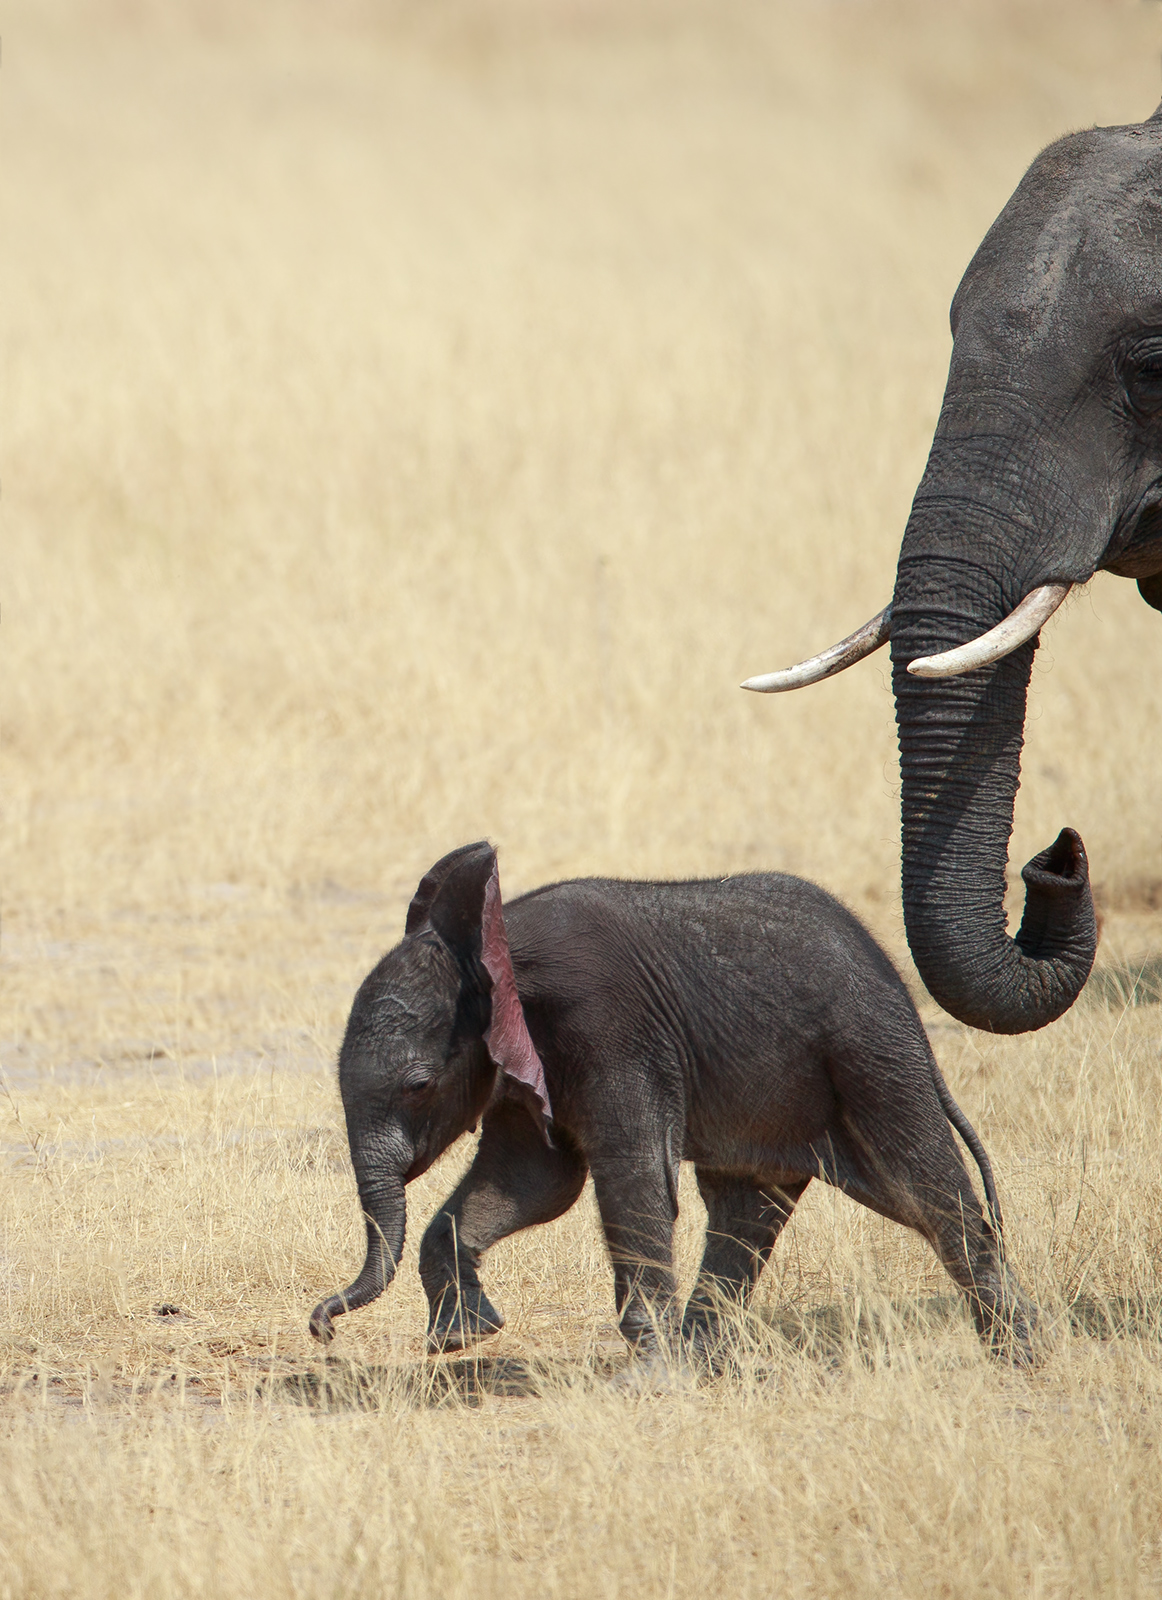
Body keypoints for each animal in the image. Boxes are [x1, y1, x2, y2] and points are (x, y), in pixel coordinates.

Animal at [310, 840, 1033, 1366]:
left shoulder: (612, 1029)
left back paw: (1019, 1353)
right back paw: (702, 1362)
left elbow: (628, 1173)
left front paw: (647, 1368)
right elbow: (533, 1181)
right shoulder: (522, 1064)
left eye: (418, 1086)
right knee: (747, 1209)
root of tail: (901, 989)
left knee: (926, 1189)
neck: (497, 946)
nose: (321, 1326)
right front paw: (461, 1338)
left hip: (872, 1054)